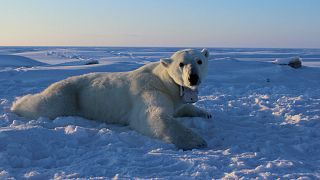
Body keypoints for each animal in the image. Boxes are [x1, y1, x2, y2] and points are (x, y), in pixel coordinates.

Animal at [11, 48, 211, 150]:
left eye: (199, 61)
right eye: (181, 63)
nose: (193, 78)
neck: (163, 80)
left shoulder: (173, 95)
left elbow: (182, 107)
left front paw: (206, 113)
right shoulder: (150, 90)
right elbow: (152, 116)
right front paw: (197, 140)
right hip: (68, 95)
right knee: (44, 105)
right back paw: (16, 104)